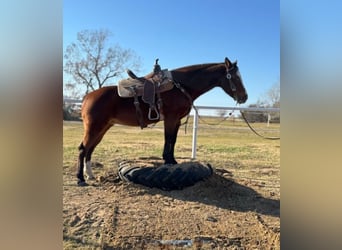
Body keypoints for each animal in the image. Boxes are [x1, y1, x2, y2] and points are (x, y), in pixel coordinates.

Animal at [77, 57, 248, 186]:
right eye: (234, 77)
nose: (244, 97)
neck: (180, 86)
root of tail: (87, 97)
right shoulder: (171, 119)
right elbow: (168, 139)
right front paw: (168, 160)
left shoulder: (176, 121)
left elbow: (173, 140)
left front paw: (172, 160)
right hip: (94, 127)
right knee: (83, 149)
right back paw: (80, 179)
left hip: (103, 128)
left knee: (90, 149)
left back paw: (90, 175)